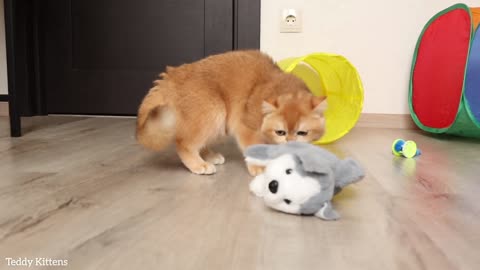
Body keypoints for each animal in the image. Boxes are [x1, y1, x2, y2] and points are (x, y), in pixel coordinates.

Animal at [137, 50, 328, 175]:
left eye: (302, 133)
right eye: (280, 132)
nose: (290, 143)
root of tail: (173, 75)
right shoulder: (246, 128)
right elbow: (253, 148)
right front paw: (259, 168)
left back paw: (209, 156)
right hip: (214, 112)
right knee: (184, 143)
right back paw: (199, 165)